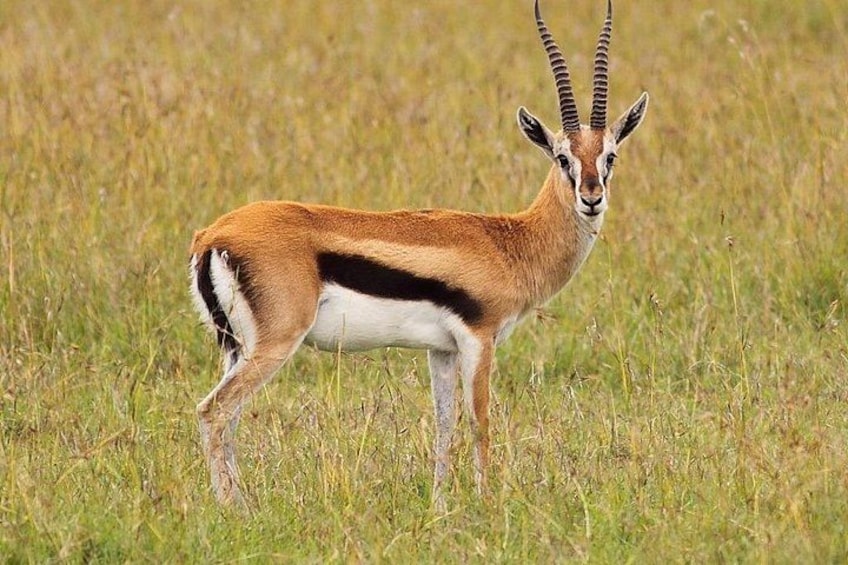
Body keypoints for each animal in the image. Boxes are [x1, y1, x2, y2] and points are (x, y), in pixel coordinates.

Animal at [189, 0, 648, 509]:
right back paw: (236, 510)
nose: (591, 198)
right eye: (562, 157)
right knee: (214, 411)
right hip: (274, 344)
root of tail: (213, 235)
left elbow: (444, 425)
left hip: (236, 347)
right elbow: (479, 422)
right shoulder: (479, 339)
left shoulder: (440, 350)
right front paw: (487, 503)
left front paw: (440, 505)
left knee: (228, 417)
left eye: (609, 156)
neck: (510, 242)